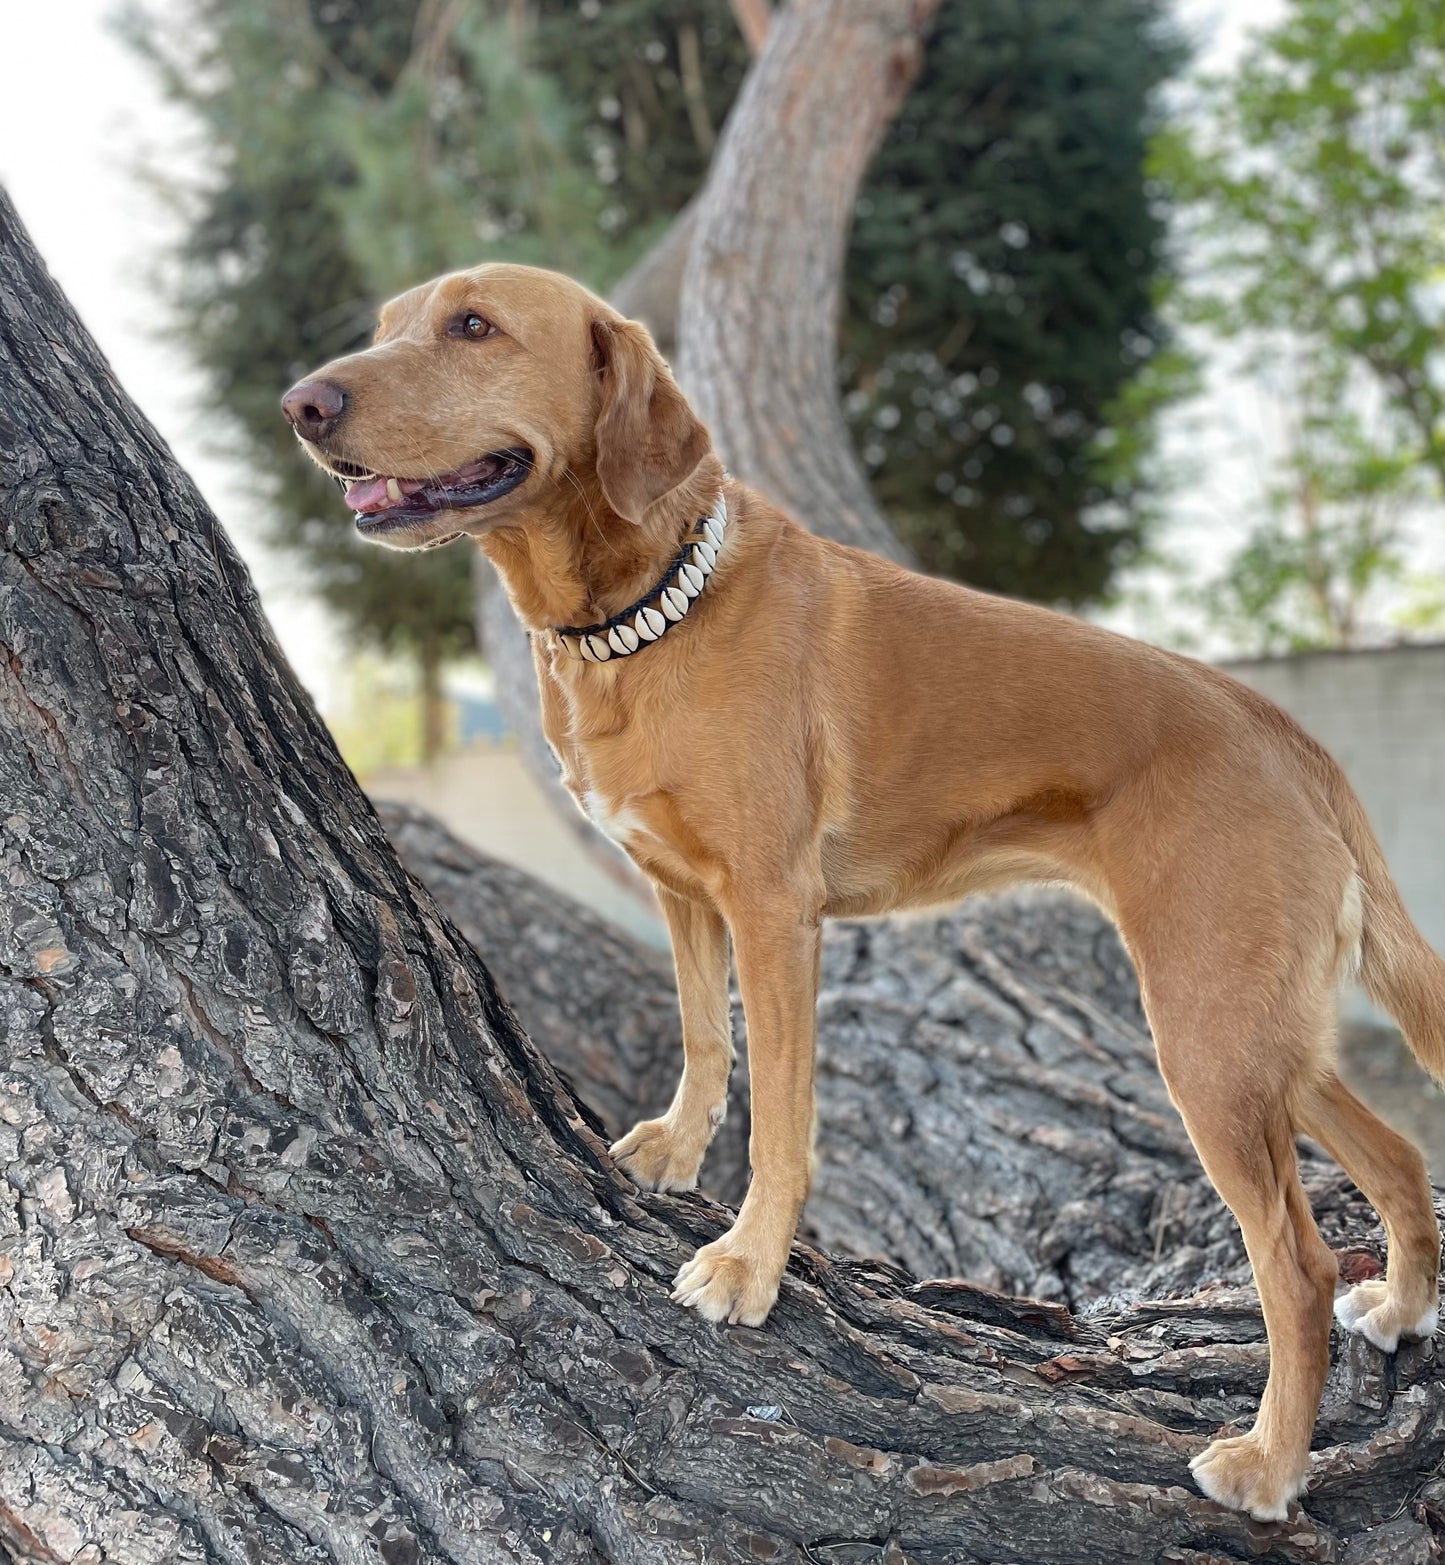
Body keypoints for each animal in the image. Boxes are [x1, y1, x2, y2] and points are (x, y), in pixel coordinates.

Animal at [284, 262, 1445, 1521]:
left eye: (473, 326)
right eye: (388, 324)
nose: (302, 404)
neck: (640, 617)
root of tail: (1282, 728)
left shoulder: (772, 910)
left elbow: (782, 1120)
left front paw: (748, 1262)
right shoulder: (682, 893)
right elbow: (703, 1039)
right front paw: (677, 1150)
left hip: (1208, 1038)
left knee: (1297, 1261)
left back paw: (1270, 1461)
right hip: (1261, 1038)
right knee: (1398, 1157)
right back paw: (1398, 1306)